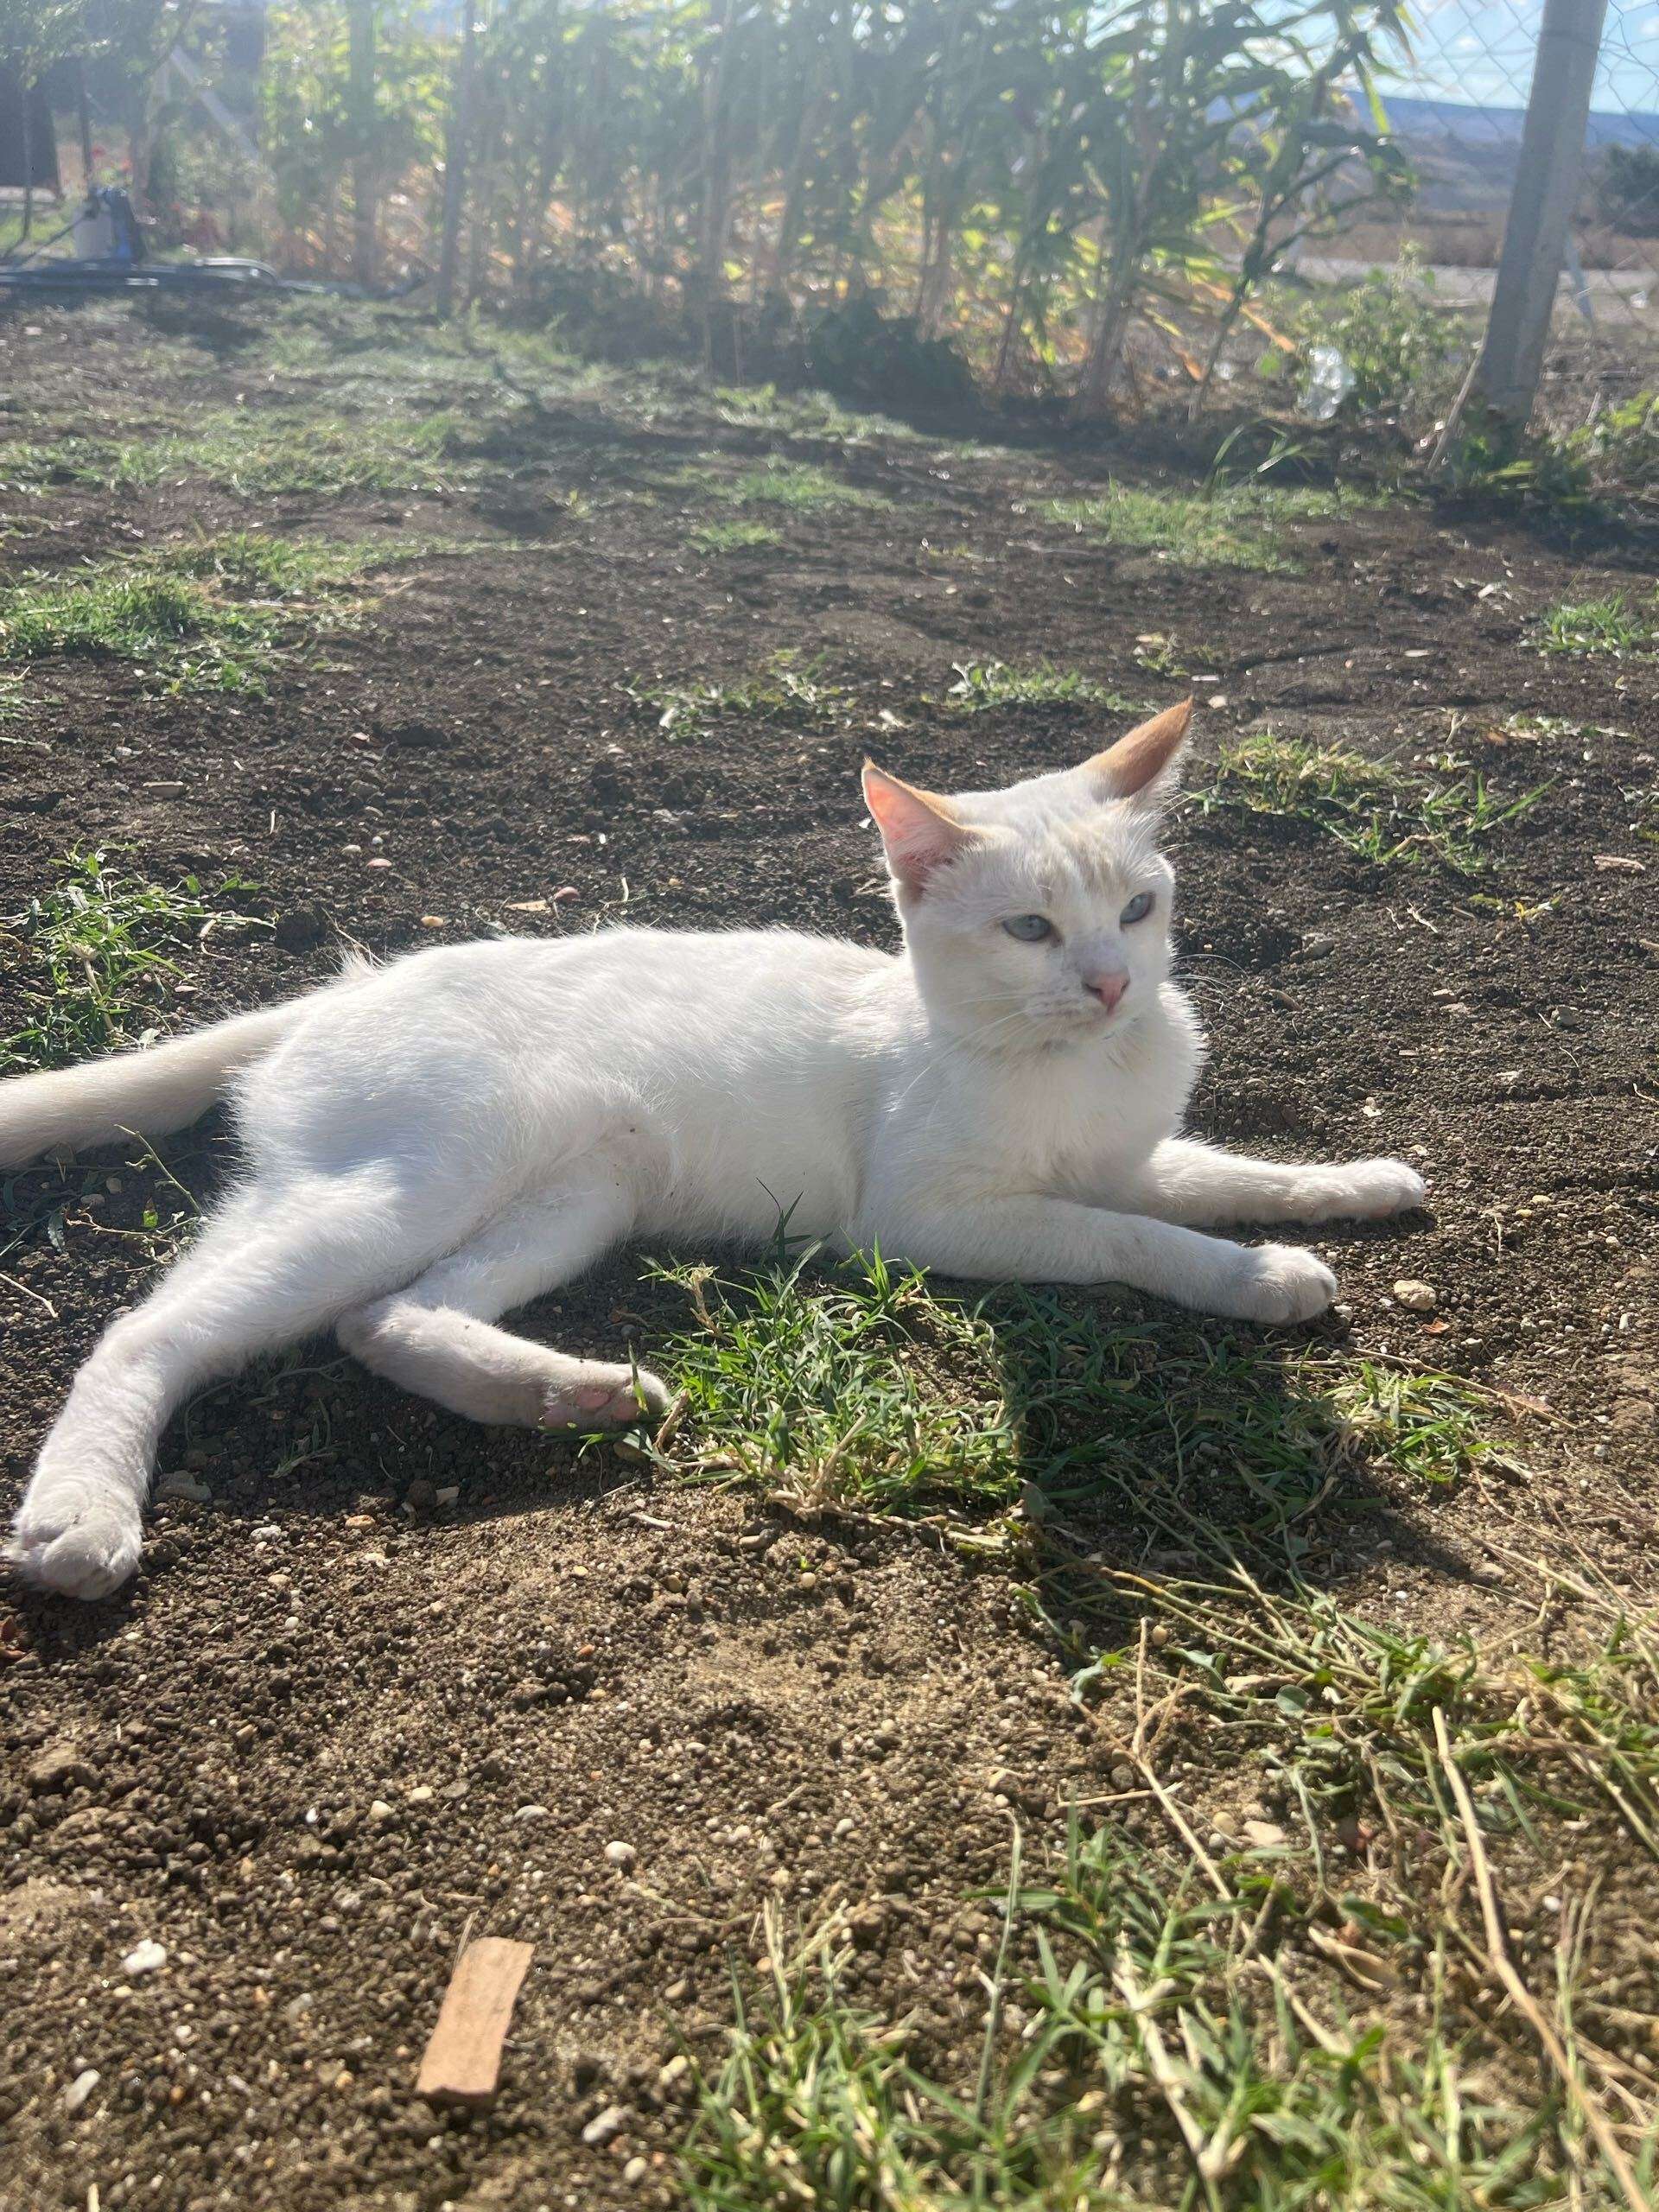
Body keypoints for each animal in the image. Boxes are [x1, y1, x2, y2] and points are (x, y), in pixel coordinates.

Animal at [1, 700, 1423, 1600]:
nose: (1114, 983)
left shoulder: (1130, 1152)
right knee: (151, 1332)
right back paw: (81, 1514)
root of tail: (343, 987)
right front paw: (1255, 1278)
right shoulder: (936, 1217)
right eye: (1030, 929)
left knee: (389, 1322)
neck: (1079, 1069)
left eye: (1138, 908)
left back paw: (578, 1394)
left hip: (578, 1196)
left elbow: (1224, 1174)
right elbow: (1134, 1234)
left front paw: (1349, 1194)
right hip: (408, 1186)